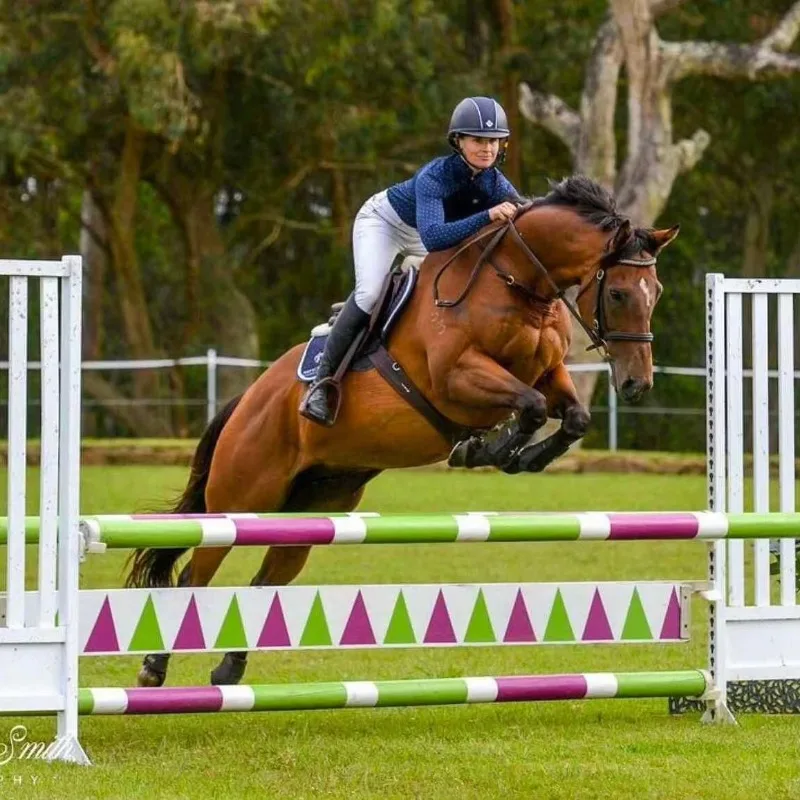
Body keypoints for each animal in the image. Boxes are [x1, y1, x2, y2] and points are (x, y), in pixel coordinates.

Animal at [126, 175, 678, 687]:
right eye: (618, 292)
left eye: (656, 293)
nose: (636, 383)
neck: (517, 283)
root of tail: (247, 401)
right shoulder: (456, 376)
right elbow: (532, 406)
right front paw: (485, 449)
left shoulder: (547, 371)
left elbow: (570, 415)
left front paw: (517, 456)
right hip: (241, 499)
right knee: (196, 574)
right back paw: (155, 667)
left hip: (316, 505)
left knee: (266, 582)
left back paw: (229, 669)